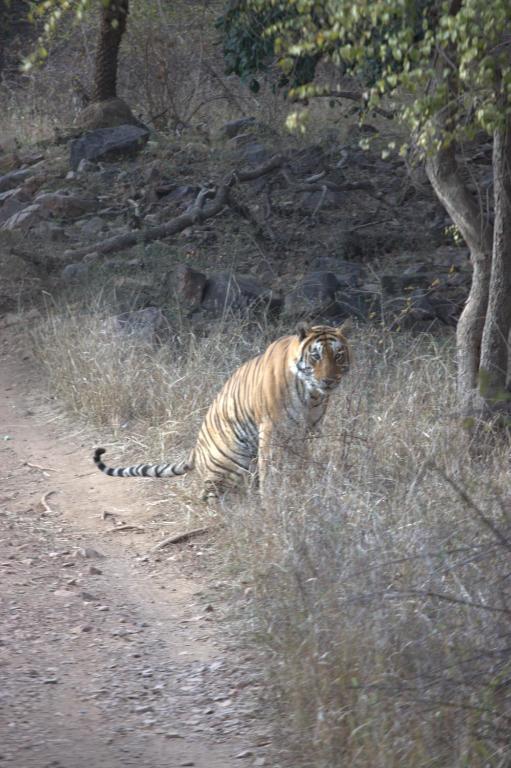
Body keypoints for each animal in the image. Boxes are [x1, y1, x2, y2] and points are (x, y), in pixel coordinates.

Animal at [94, 322, 352, 498]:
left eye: (338, 356)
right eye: (316, 356)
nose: (329, 381)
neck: (312, 395)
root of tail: (196, 451)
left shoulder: (312, 428)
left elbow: (308, 459)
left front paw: (311, 482)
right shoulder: (272, 429)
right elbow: (271, 469)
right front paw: (274, 497)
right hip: (232, 461)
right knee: (209, 494)